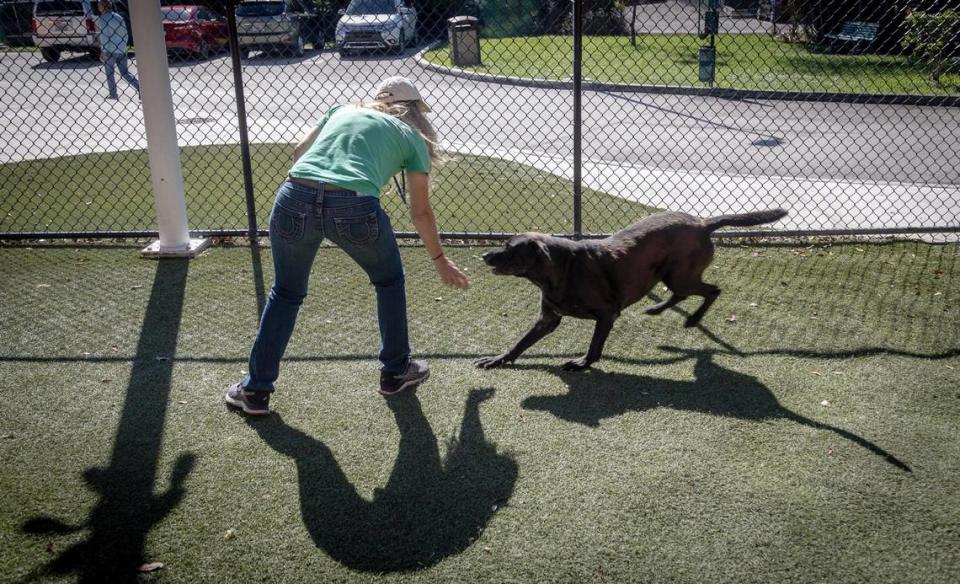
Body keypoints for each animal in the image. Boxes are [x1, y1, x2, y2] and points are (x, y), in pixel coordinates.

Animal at [474, 210, 788, 372]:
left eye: (510, 249)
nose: (485, 256)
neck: (562, 271)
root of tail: (703, 223)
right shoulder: (547, 319)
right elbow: (520, 343)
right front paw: (499, 359)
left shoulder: (606, 314)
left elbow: (595, 346)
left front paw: (583, 363)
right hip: (672, 276)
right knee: (685, 294)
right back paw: (657, 309)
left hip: (680, 276)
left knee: (712, 290)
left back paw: (693, 319)